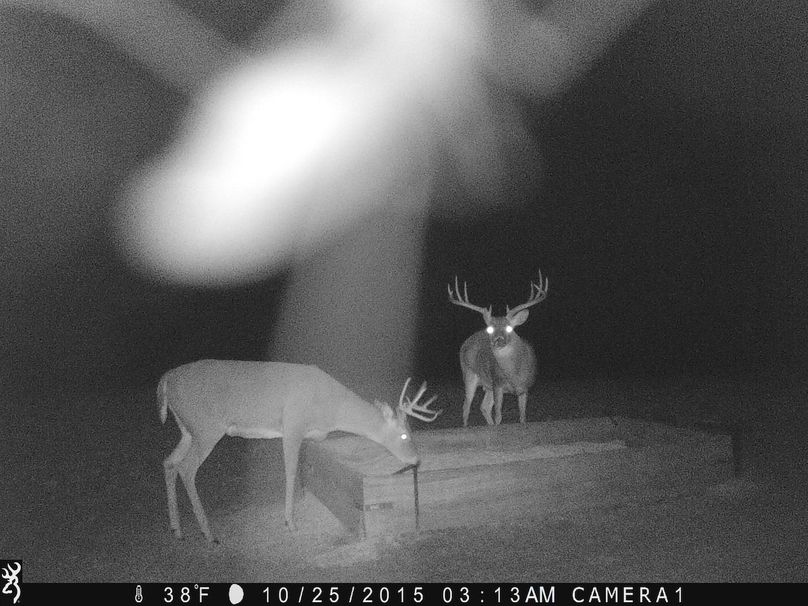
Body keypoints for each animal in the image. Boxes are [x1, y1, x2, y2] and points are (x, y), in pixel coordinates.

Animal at [158, 360, 441, 543]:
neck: (332, 408)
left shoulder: (306, 435)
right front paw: (290, 523)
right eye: (404, 435)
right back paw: (207, 532)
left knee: (169, 462)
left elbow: (304, 470)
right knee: (186, 468)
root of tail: (165, 380)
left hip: (188, 429)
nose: (417, 459)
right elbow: (291, 472)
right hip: (206, 427)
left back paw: (176, 529)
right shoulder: (293, 424)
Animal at [448, 273, 549, 427]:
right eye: (490, 329)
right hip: (469, 373)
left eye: (509, 328)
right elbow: (498, 417)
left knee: (484, 407)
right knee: (466, 406)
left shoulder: (524, 388)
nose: (498, 340)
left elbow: (523, 417)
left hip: (487, 385)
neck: (514, 374)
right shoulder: (497, 383)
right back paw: (465, 426)